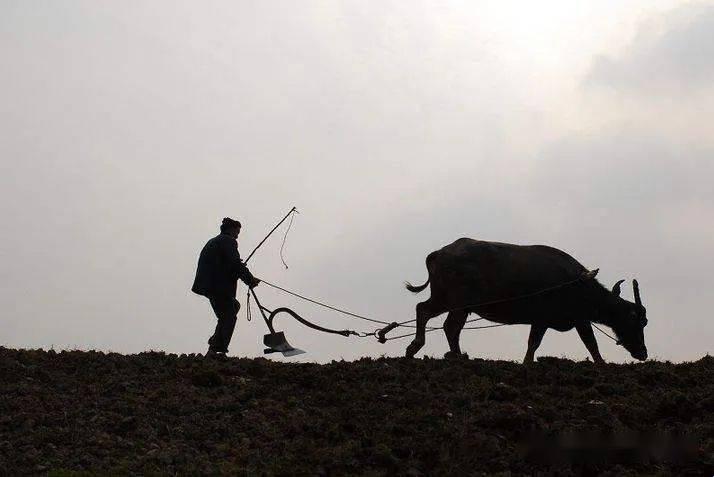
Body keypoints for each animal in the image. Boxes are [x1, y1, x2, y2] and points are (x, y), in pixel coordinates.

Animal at [406, 236, 644, 362]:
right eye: (637, 320)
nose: (643, 353)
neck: (575, 283)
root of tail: (439, 253)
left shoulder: (575, 319)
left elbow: (588, 342)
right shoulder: (549, 319)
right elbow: (540, 343)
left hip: (449, 301)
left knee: (427, 312)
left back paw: (420, 349)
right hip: (457, 303)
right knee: (447, 324)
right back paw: (452, 354)